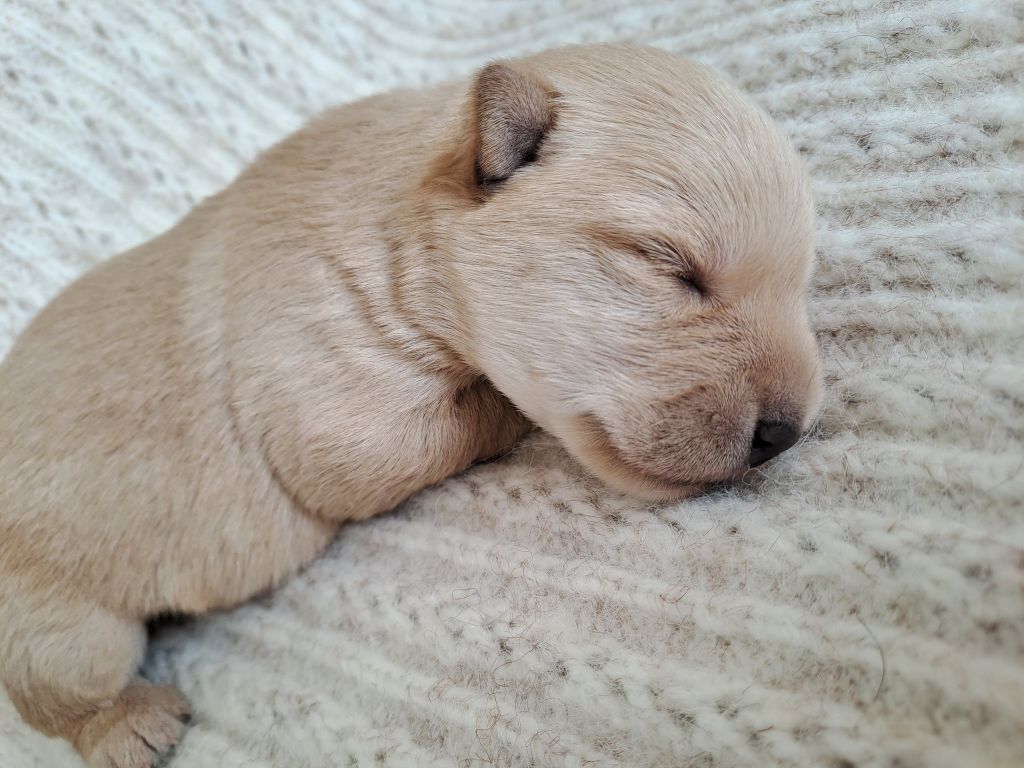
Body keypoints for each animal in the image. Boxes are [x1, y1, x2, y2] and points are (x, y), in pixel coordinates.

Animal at [0, 45, 819, 765]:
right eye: (669, 264)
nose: (784, 434)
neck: (401, 219)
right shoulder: (327, 399)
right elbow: (424, 433)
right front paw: (502, 407)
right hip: (62, 624)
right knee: (61, 691)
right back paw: (134, 728)